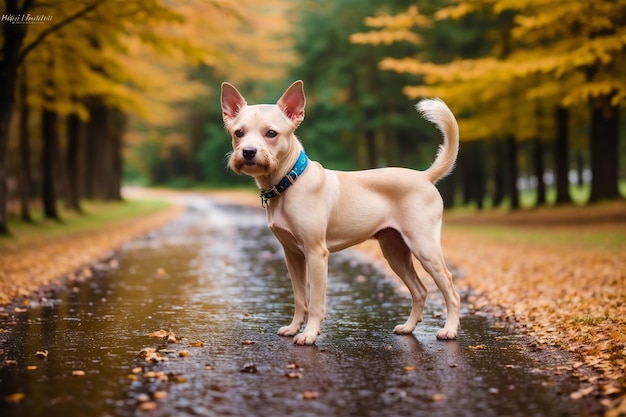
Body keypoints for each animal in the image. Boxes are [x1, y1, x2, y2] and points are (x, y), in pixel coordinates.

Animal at [219, 79, 458, 344]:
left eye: (271, 133)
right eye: (238, 133)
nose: (248, 152)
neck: (290, 181)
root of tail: (424, 176)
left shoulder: (316, 254)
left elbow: (315, 301)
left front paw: (309, 334)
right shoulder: (292, 255)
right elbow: (300, 298)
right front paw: (293, 328)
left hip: (424, 247)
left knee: (450, 290)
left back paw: (450, 329)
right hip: (395, 251)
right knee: (420, 290)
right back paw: (408, 327)